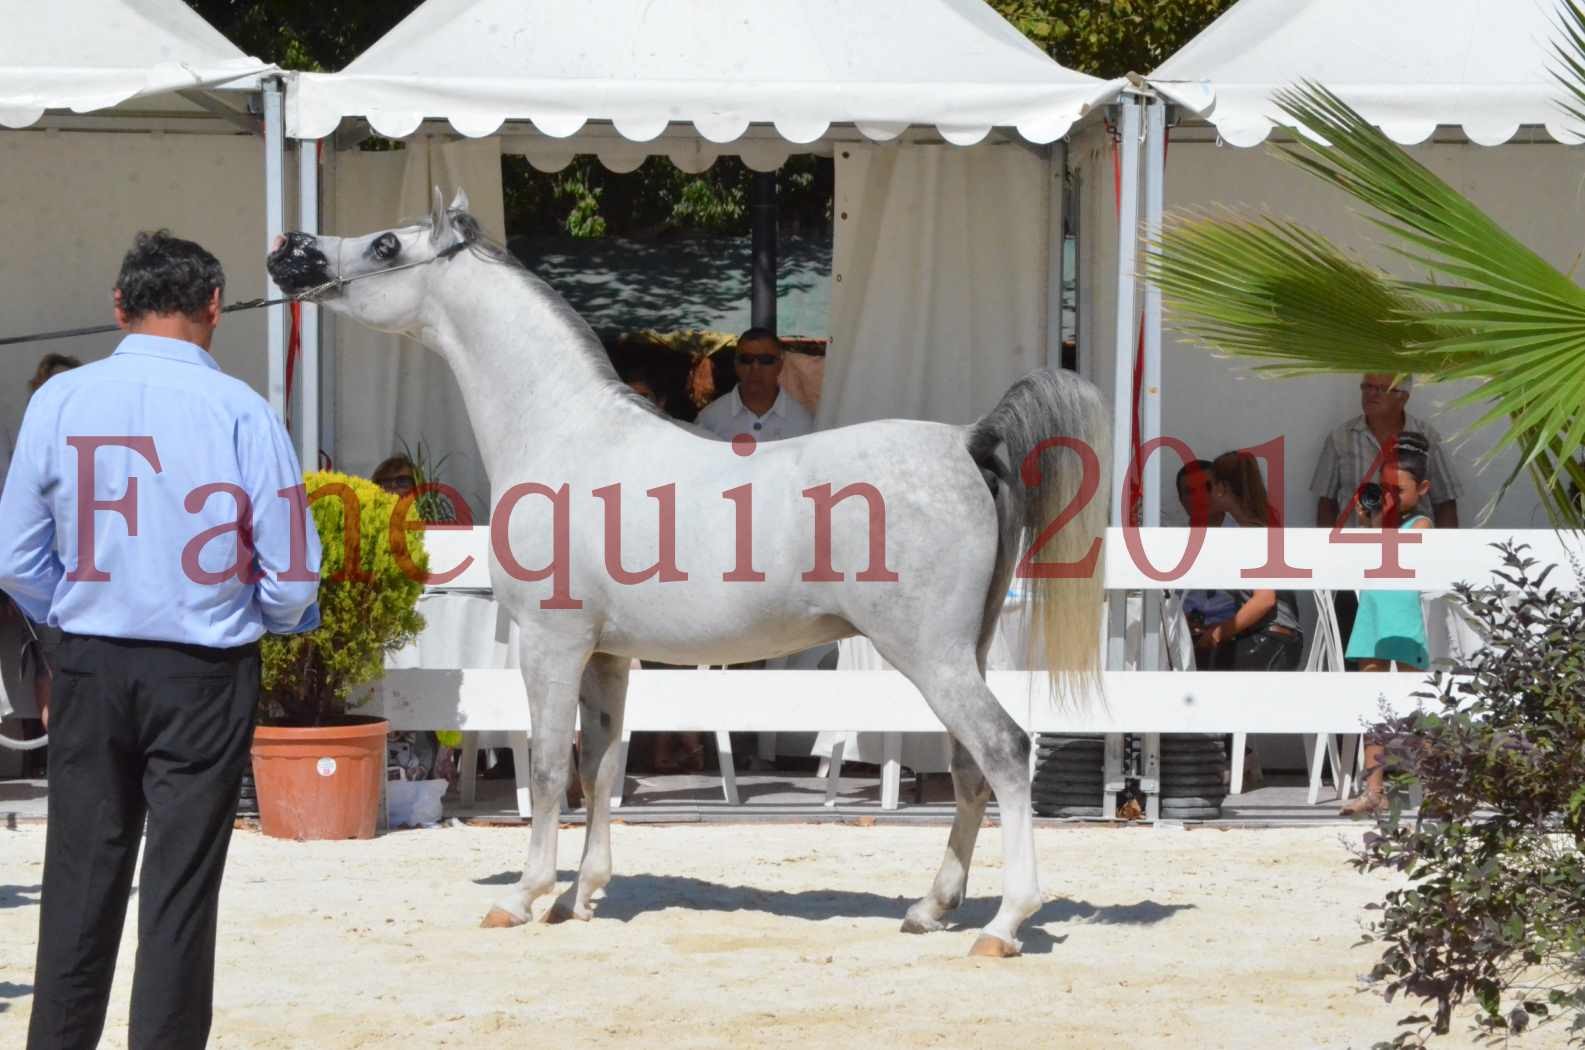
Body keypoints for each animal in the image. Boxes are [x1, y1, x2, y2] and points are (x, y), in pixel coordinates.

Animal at [266, 193, 1109, 958]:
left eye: (384, 245)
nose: (290, 250)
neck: (565, 431)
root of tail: (968, 441)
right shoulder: (608, 657)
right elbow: (602, 766)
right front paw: (581, 896)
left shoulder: (550, 643)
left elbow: (549, 768)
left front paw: (524, 897)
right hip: (962, 653)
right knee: (971, 770)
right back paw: (930, 911)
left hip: (931, 655)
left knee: (1004, 751)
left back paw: (1003, 926)